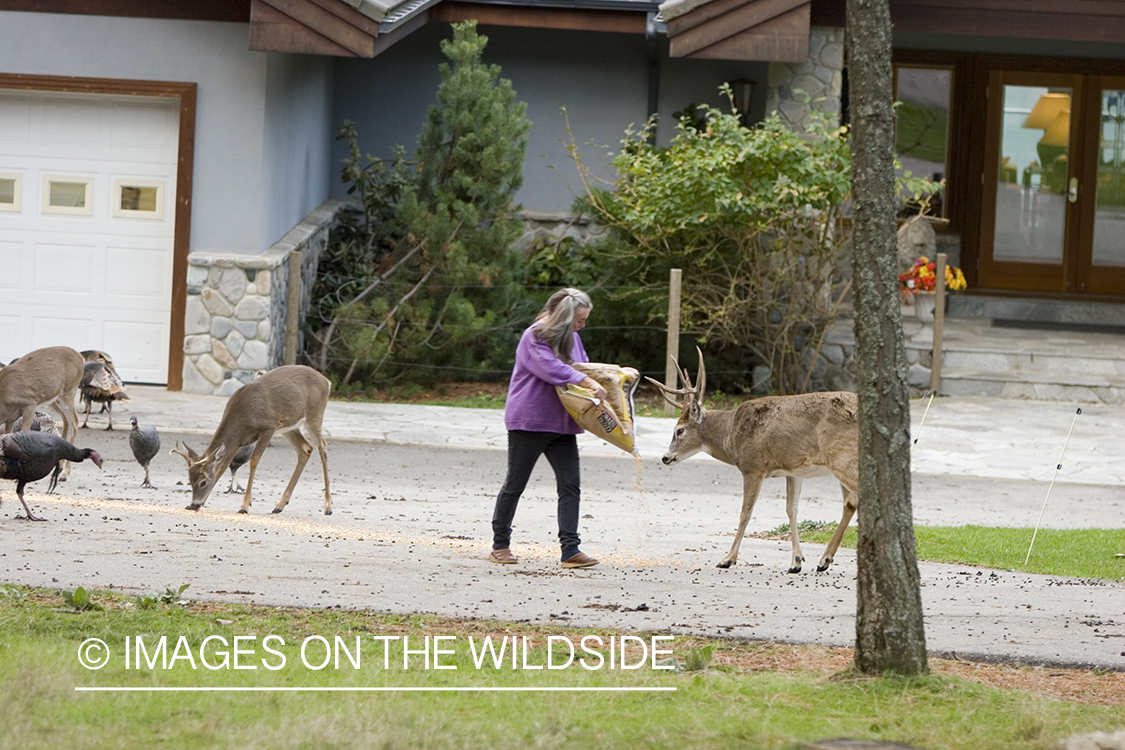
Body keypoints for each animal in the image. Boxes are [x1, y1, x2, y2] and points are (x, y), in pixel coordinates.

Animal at [0, 346, 84, 481]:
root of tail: (80, 357)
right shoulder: (10, 418)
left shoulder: (30, 403)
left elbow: (23, 432)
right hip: (55, 400)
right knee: (66, 420)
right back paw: (60, 467)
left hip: (69, 391)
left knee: (74, 421)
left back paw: (65, 473)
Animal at [168, 364, 330, 517]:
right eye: (190, 481)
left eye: (203, 482)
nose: (194, 504)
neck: (243, 418)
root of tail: (327, 381)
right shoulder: (236, 442)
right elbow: (222, 467)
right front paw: (202, 503)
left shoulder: (268, 428)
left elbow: (254, 460)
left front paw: (244, 506)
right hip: (289, 427)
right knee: (306, 448)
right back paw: (279, 505)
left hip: (313, 416)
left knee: (322, 447)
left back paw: (328, 507)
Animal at [648, 348, 855, 571]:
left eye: (679, 430)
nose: (665, 457)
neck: (730, 434)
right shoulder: (793, 469)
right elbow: (792, 509)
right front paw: (796, 561)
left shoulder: (752, 467)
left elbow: (745, 513)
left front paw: (727, 558)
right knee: (850, 503)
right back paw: (825, 560)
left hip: (841, 457)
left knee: (853, 499)